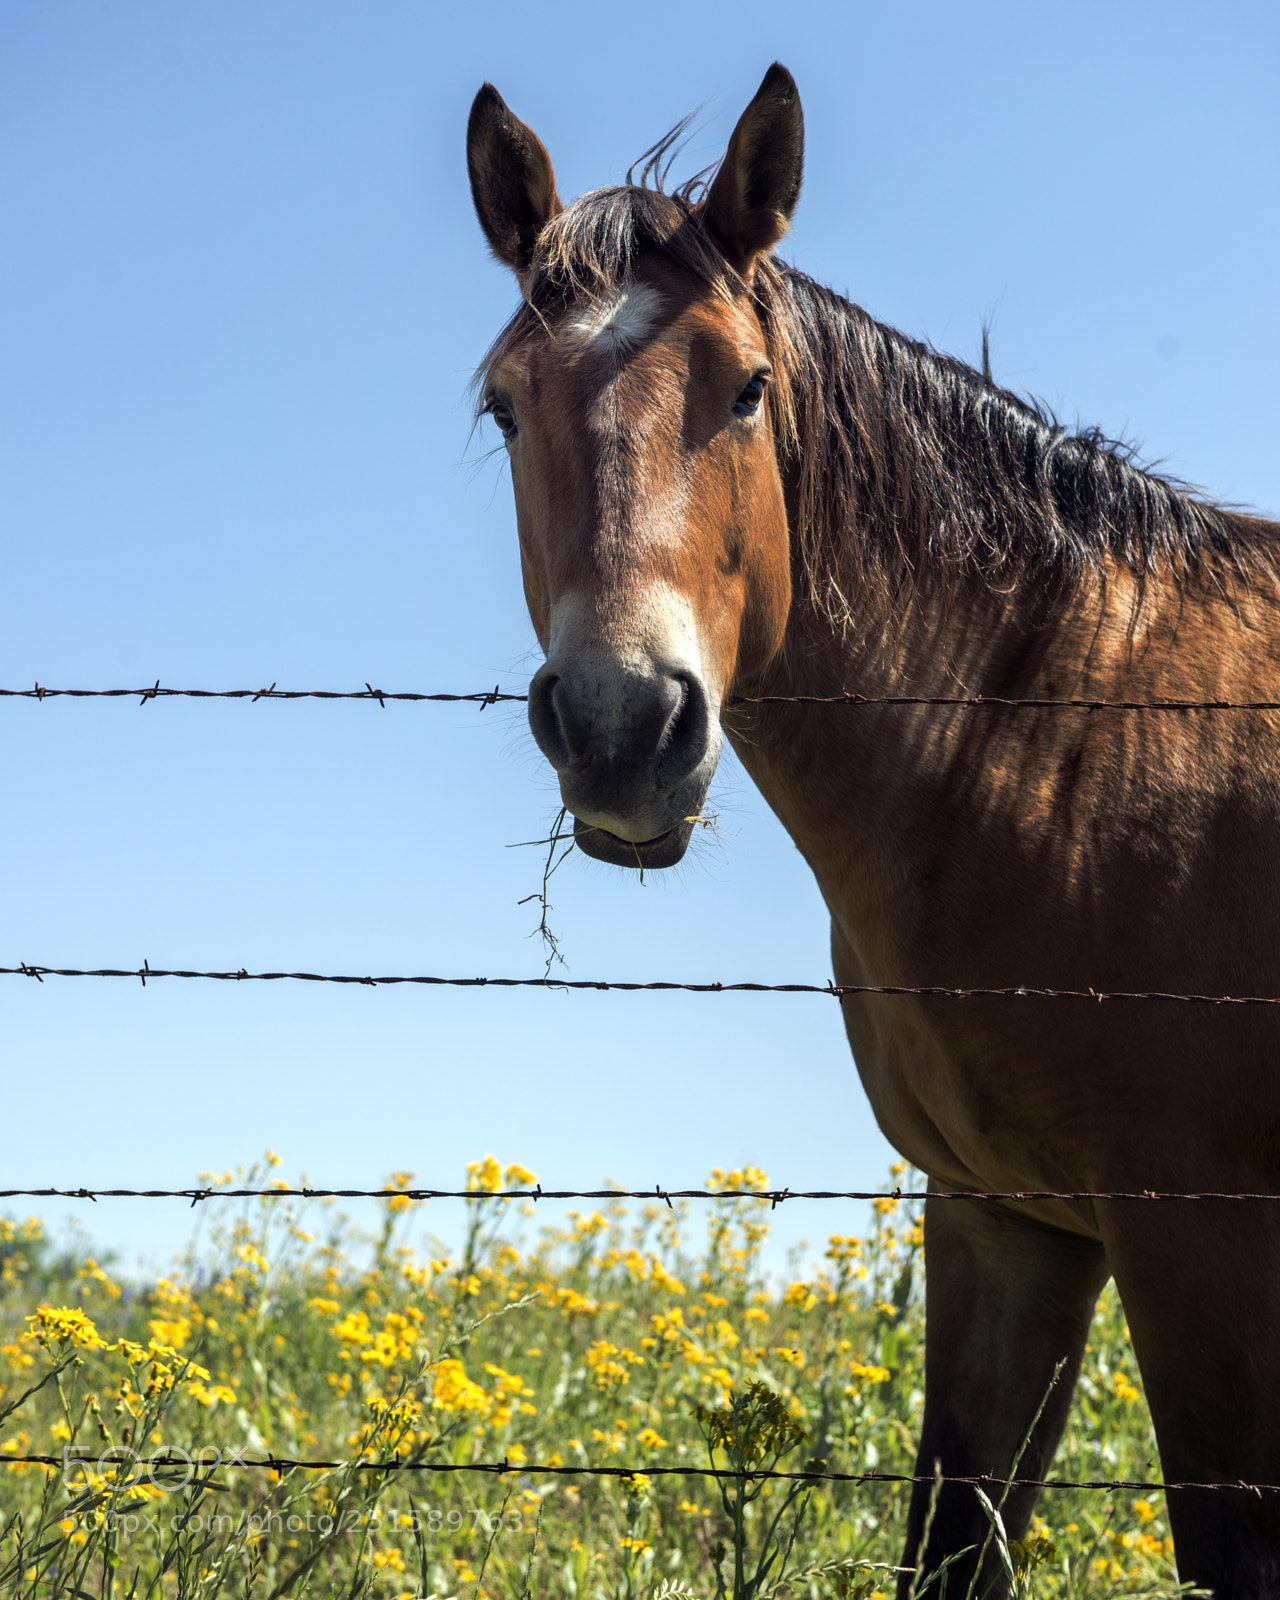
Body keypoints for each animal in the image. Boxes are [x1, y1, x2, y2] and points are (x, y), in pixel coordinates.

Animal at [466, 65, 1280, 1597]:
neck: (1057, 745)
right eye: (502, 409)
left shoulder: (1199, 1239)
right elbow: (952, 1538)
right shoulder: (999, 1221)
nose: (621, 726)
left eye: (745, 389)